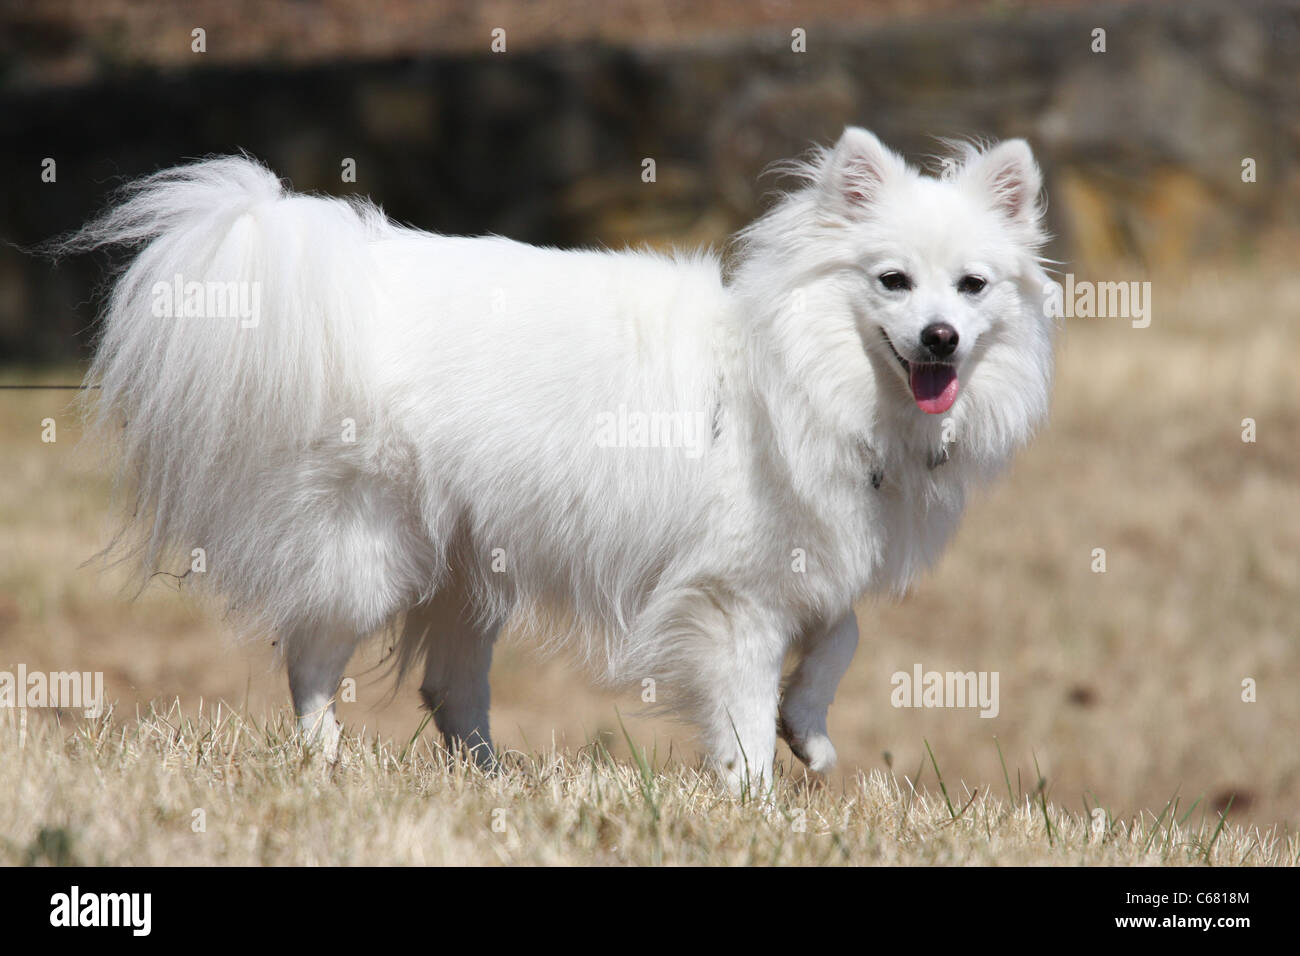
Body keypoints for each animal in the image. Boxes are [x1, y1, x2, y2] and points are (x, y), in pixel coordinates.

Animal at [65, 130, 1050, 796]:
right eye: (893, 281)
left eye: (973, 287)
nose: (941, 337)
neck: (809, 371)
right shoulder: (732, 597)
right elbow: (741, 710)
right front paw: (756, 803)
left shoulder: (802, 562)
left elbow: (842, 635)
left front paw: (806, 729)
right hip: (368, 543)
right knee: (312, 654)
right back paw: (326, 757)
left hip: (466, 562)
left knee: (449, 687)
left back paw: (492, 780)